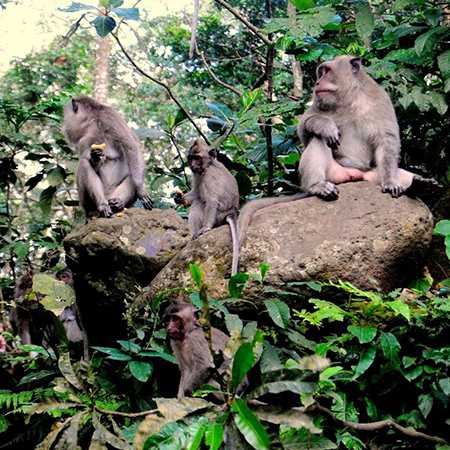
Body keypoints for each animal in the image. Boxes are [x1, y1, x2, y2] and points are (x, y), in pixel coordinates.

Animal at [298, 55, 436, 200]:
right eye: (321, 72)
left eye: (327, 71)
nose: (317, 83)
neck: (350, 99)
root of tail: (357, 174)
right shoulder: (318, 101)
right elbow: (303, 131)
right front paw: (325, 126)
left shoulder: (380, 99)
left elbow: (386, 140)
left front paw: (390, 182)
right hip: (334, 175)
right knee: (319, 139)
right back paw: (317, 185)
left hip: (373, 176)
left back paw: (422, 186)